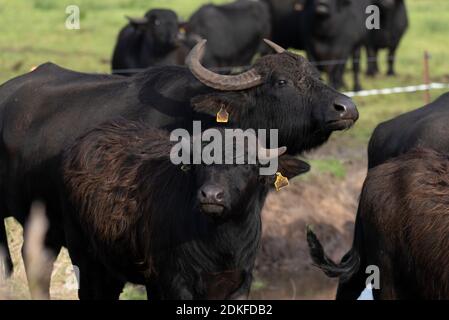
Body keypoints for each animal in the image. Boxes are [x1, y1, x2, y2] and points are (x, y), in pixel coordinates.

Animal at [61, 121, 310, 298]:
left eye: (249, 164)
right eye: (200, 162)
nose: (211, 195)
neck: (223, 243)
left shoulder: (240, 282)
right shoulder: (177, 282)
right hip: (84, 257)